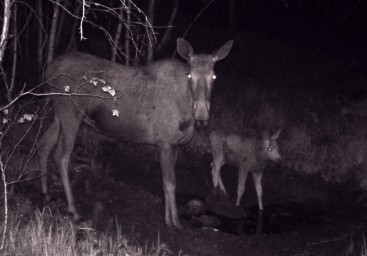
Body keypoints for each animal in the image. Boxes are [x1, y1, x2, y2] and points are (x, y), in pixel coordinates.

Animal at [37, 38, 233, 228]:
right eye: (190, 76)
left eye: (214, 76)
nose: (202, 113)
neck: (187, 110)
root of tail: (48, 70)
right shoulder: (165, 142)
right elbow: (170, 183)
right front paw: (175, 222)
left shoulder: (175, 145)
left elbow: (166, 182)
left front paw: (168, 218)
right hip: (70, 113)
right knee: (61, 156)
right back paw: (74, 210)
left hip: (58, 114)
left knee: (44, 144)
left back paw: (46, 192)